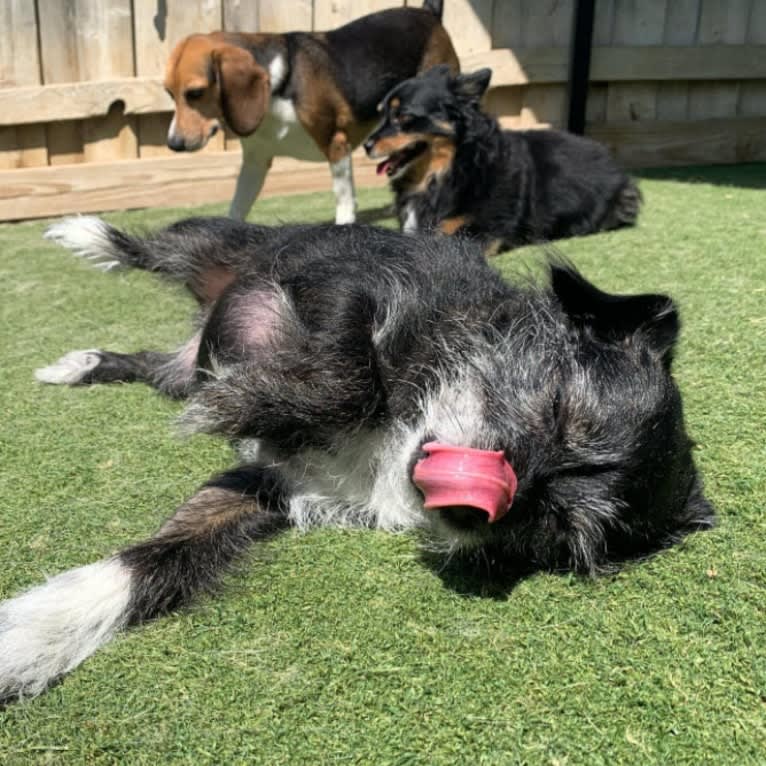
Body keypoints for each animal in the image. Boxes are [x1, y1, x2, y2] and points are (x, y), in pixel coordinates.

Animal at [0, 216, 712, 704]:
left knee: (159, 367)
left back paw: (88, 363)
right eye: (562, 409)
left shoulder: (262, 486)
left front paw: (29, 639)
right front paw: (249, 401)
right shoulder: (347, 284)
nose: (484, 511)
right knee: (158, 249)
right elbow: (354, 370)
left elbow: (158, 562)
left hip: (179, 368)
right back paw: (93, 238)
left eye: (560, 527)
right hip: (227, 244)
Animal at [164, 3, 460, 224]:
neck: (277, 87)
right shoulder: (255, 161)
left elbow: (343, 200)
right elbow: (237, 206)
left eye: (195, 93)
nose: (173, 144)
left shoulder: (336, 145)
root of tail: (429, 13)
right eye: (168, 93)